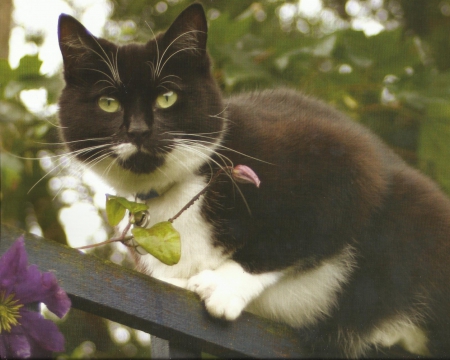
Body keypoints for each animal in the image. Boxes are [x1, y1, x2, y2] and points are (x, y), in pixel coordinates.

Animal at [56, 2, 450, 358]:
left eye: (167, 97)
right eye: (108, 103)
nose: (138, 131)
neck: (181, 188)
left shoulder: (343, 160)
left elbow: (291, 235)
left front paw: (221, 283)